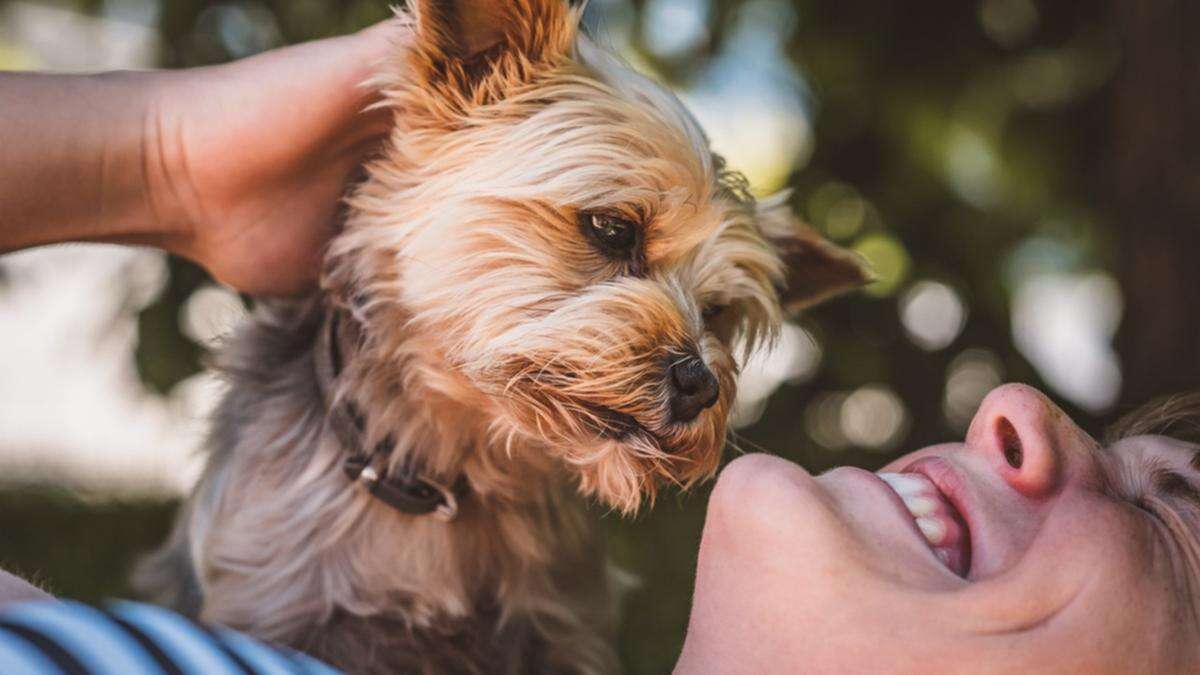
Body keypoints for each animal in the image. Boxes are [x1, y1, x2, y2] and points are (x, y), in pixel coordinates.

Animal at [138, 2, 873, 667]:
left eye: (718, 310)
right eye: (612, 228)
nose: (700, 384)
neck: (451, 475)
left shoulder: (561, 631)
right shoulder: (277, 608)